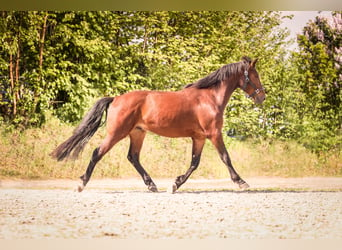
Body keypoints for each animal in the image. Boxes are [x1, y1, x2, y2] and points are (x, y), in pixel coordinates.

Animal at [50, 56, 266, 193]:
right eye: (255, 76)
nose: (262, 97)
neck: (209, 98)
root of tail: (116, 98)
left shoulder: (199, 137)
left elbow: (194, 163)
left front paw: (175, 184)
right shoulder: (213, 134)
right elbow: (225, 157)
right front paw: (241, 182)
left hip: (137, 133)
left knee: (133, 157)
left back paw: (152, 185)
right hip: (117, 133)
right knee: (98, 153)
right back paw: (81, 184)